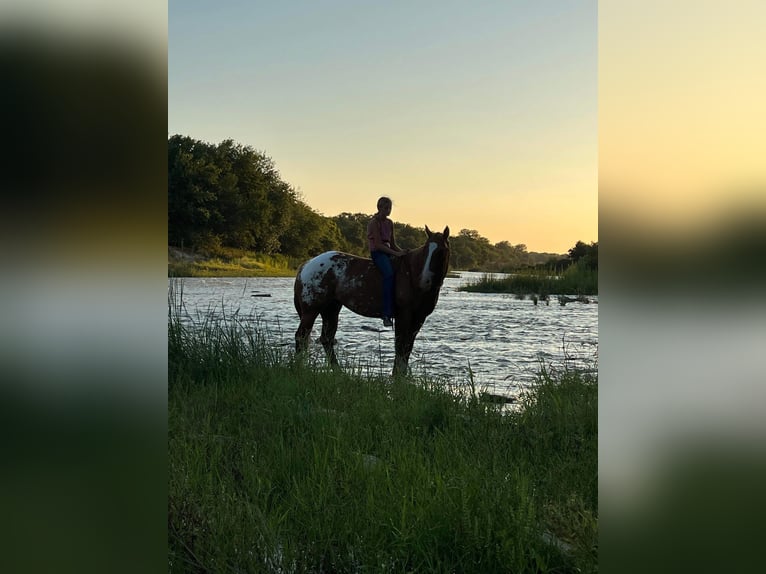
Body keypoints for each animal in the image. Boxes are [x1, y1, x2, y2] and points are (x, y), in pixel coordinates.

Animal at [294, 225, 450, 378]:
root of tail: (307, 264)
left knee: (326, 339)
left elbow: (408, 347)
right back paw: (299, 368)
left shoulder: (419, 318)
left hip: (330, 309)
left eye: (441, 251)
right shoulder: (403, 315)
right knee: (301, 337)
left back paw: (339, 373)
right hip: (311, 310)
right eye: (426, 250)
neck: (411, 274)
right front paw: (396, 377)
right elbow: (400, 345)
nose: (424, 280)